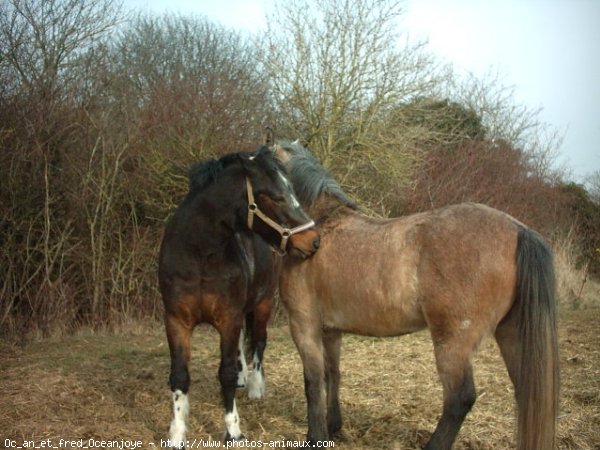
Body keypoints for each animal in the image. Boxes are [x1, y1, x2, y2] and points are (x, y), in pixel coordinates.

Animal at [158, 147, 318, 446]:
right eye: (274, 196)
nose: (314, 241)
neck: (199, 255)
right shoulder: (176, 321)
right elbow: (180, 376)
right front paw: (176, 434)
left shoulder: (228, 319)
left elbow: (226, 374)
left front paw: (233, 431)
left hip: (263, 304)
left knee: (259, 343)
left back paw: (255, 386)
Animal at [274, 141, 560, 450]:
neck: (322, 226)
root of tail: (519, 230)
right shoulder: (330, 330)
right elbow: (332, 375)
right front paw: (334, 426)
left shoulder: (304, 324)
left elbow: (313, 382)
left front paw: (316, 436)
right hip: (511, 333)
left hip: (454, 341)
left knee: (460, 398)